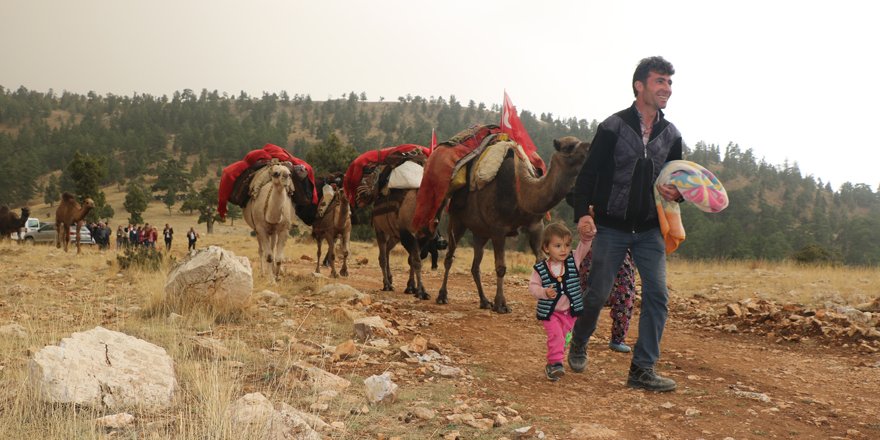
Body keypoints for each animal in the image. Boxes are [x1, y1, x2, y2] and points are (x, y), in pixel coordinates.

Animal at [434, 138, 588, 312]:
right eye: (569, 147)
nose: (589, 146)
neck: (521, 193)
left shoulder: (536, 225)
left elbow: (540, 259)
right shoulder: (498, 229)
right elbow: (501, 267)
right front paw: (501, 304)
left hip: (480, 232)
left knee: (475, 265)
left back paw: (484, 301)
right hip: (456, 220)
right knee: (449, 256)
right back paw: (442, 296)